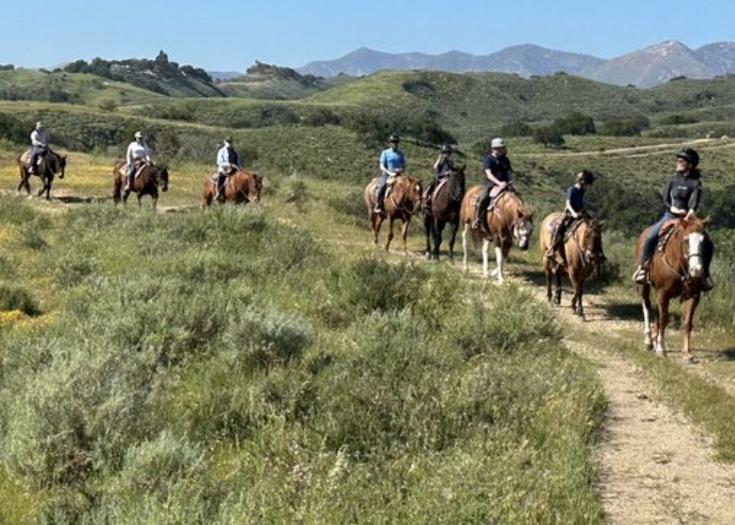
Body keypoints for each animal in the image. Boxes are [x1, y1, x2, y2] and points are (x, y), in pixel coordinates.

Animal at [636, 214, 716, 360]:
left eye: (704, 242)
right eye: (686, 241)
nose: (697, 271)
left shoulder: (693, 295)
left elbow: (687, 322)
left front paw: (687, 352)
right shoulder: (663, 293)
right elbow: (664, 319)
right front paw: (661, 349)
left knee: (657, 312)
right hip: (644, 286)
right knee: (647, 306)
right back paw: (649, 341)